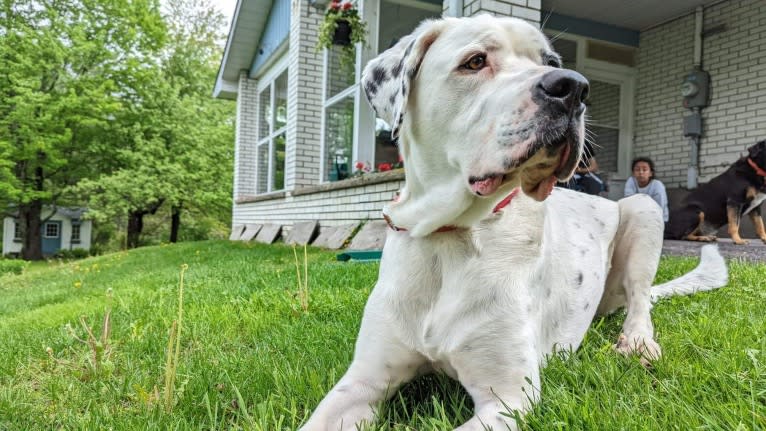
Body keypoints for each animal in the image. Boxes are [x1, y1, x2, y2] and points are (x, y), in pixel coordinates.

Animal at [298, 15, 728, 430]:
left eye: (550, 61)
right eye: (474, 62)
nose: (573, 87)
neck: (450, 236)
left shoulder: (508, 399)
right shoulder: (363, 381)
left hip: (642, 209)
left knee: (640, 303)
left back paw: (637, 343)